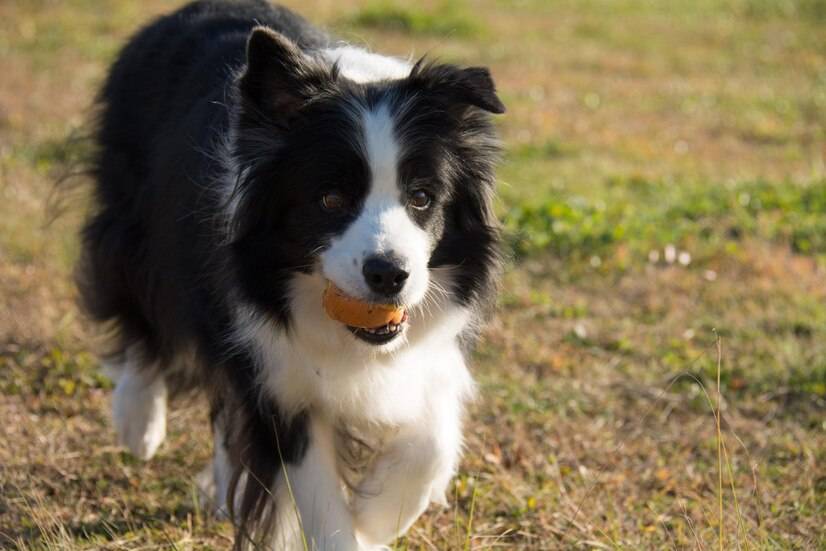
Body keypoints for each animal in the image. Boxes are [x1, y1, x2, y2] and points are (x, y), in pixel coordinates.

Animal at [79, 1, 502, 548]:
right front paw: (359, 525)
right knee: (138, 304)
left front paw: (376, 515)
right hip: (137, 221)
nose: (389, 275)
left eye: (423, 197)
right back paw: (139, 423)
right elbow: (311, 481)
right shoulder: (276, 365)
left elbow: (432, 440)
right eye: (330, 200)